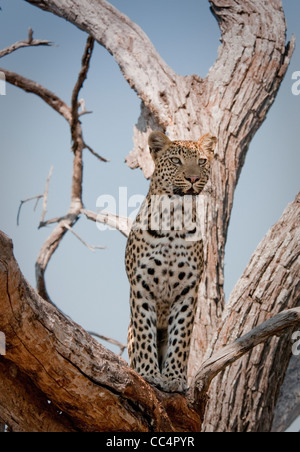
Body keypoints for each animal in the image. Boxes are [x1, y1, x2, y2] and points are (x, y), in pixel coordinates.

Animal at [125, 131, 217, 392]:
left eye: (202, 161)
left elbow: (181, 336)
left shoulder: (188, 291)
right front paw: (148, 373)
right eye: (176, 160)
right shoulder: (141, 286)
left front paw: (174, 377)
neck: (175, 219)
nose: (193, 178)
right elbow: (144, 331)